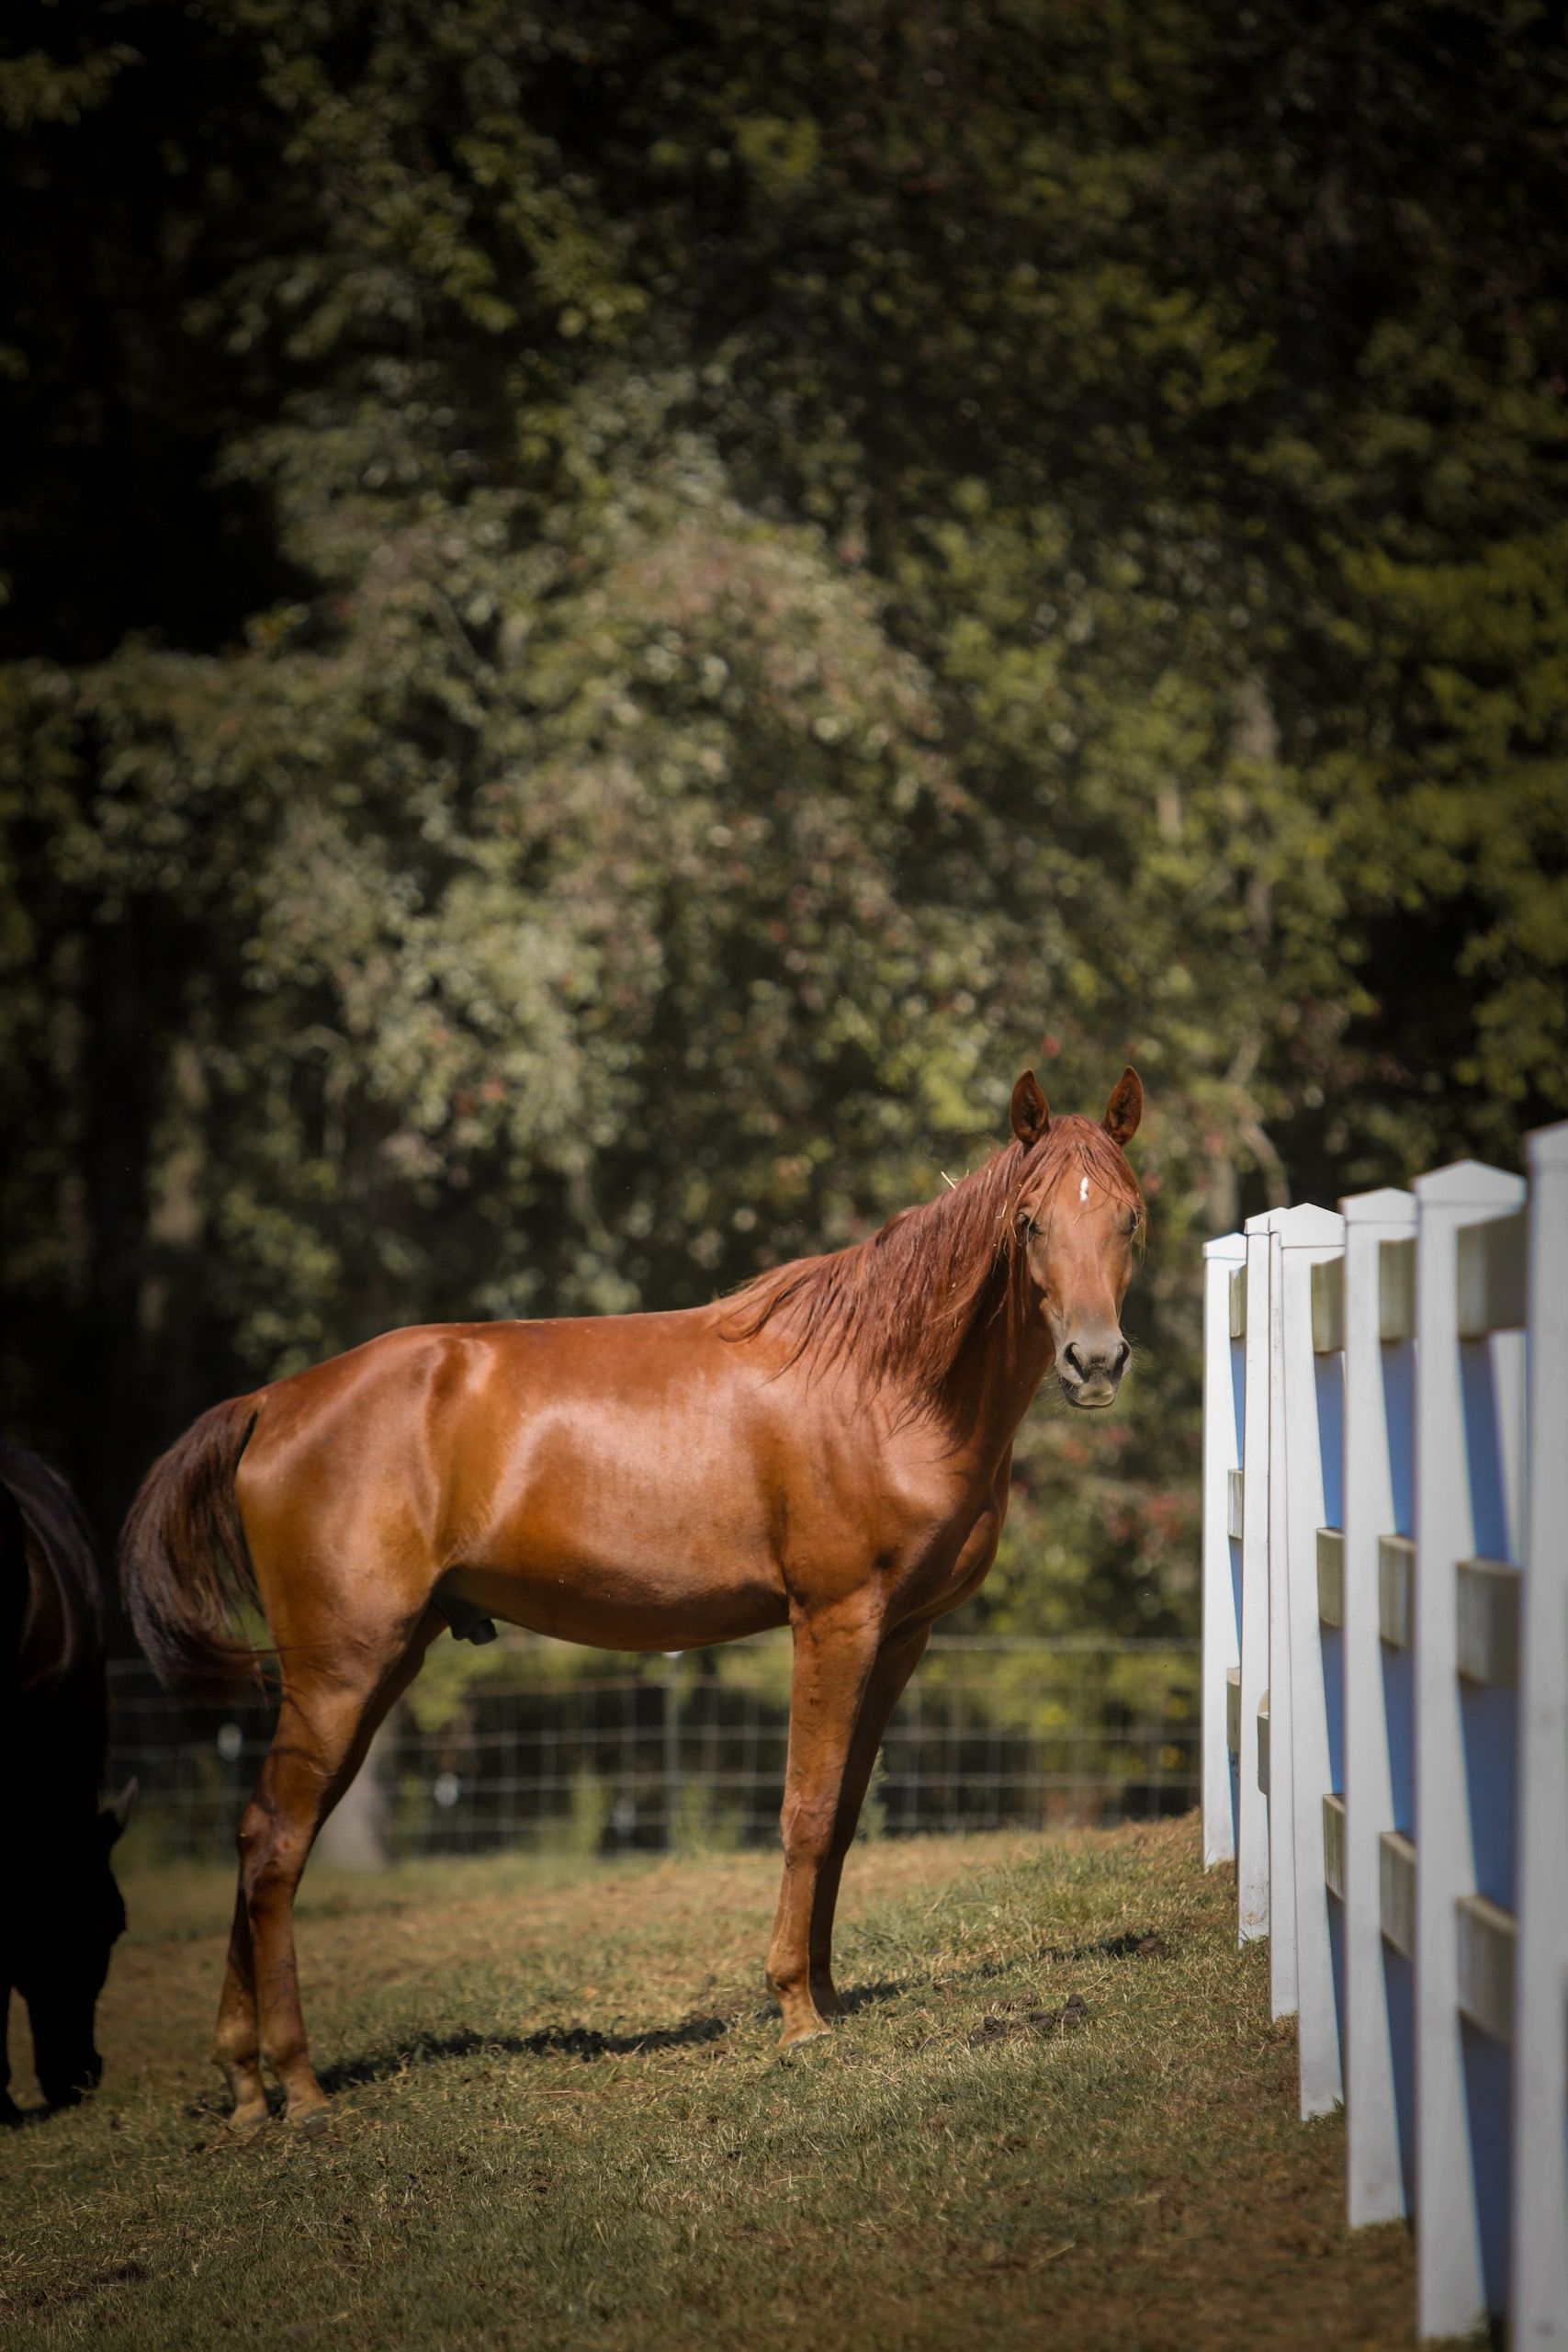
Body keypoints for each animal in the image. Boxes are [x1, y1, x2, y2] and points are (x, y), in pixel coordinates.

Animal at [120, 1064, 1145, 2127]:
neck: (883, 1381)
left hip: (374, 1667)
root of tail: (275, 1402)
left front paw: (825, 1994)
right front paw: (797, 2015)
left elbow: (845, 1813)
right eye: (1028, 1221)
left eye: (1132, 1218)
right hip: (341, 1669)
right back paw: (300, 2084)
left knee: (259, 1837)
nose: (1094, 1362)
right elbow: (806, 1808)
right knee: (277, 1844)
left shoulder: (899, 1636)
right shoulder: (832, 1621)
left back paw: (245, 2085)